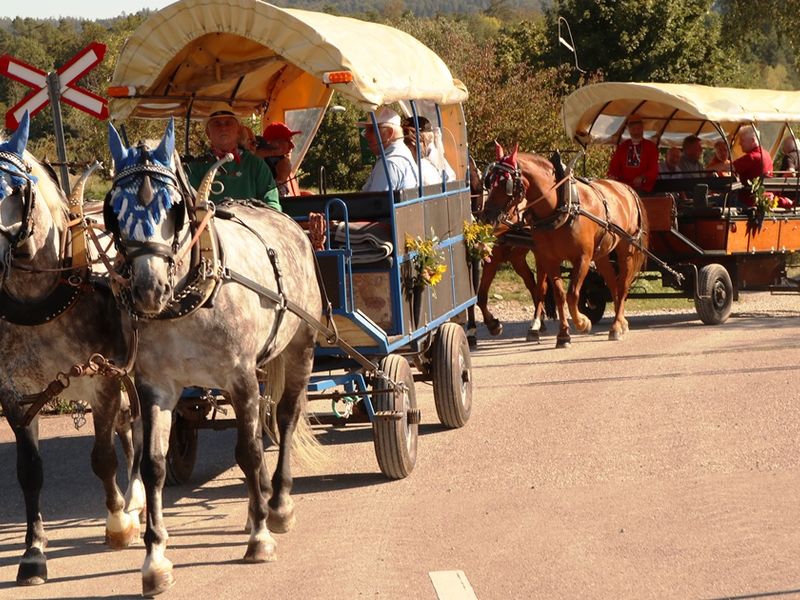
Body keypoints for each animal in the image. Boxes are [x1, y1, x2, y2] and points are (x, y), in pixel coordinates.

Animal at [0, 113, 144, 584]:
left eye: (14, 188)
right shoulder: (15, 394)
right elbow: (29, 472)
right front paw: (33, 553)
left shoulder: (102, 380)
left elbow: (102, 459)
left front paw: (117, 524)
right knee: (129, 428)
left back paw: (134, 500)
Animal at [104, 118, 324, 596]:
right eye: (114, 209)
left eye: (173, 208)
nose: (148, 290)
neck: (190, 297)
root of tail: (285, 219)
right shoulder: (156, 388)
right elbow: (153, 466)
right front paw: (155, 560)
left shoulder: (239, 376)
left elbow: (248, 451)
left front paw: (260, 536)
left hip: (301, 345)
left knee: (284, 417)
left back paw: (277, 503)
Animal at [478, 143, 648, 346]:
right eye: (489, 182)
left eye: (506, 184)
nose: (486, 218)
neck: (561, 206)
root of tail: (626, 188)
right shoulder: (549, 258)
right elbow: (559, 295)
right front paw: (563, 334)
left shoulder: (582, 259)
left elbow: (572, 294)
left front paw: (582, 323)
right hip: (601, 255)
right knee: (612, 284)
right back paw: (620, 322)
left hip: (626, 249)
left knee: (622, 286)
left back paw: (616, 325)